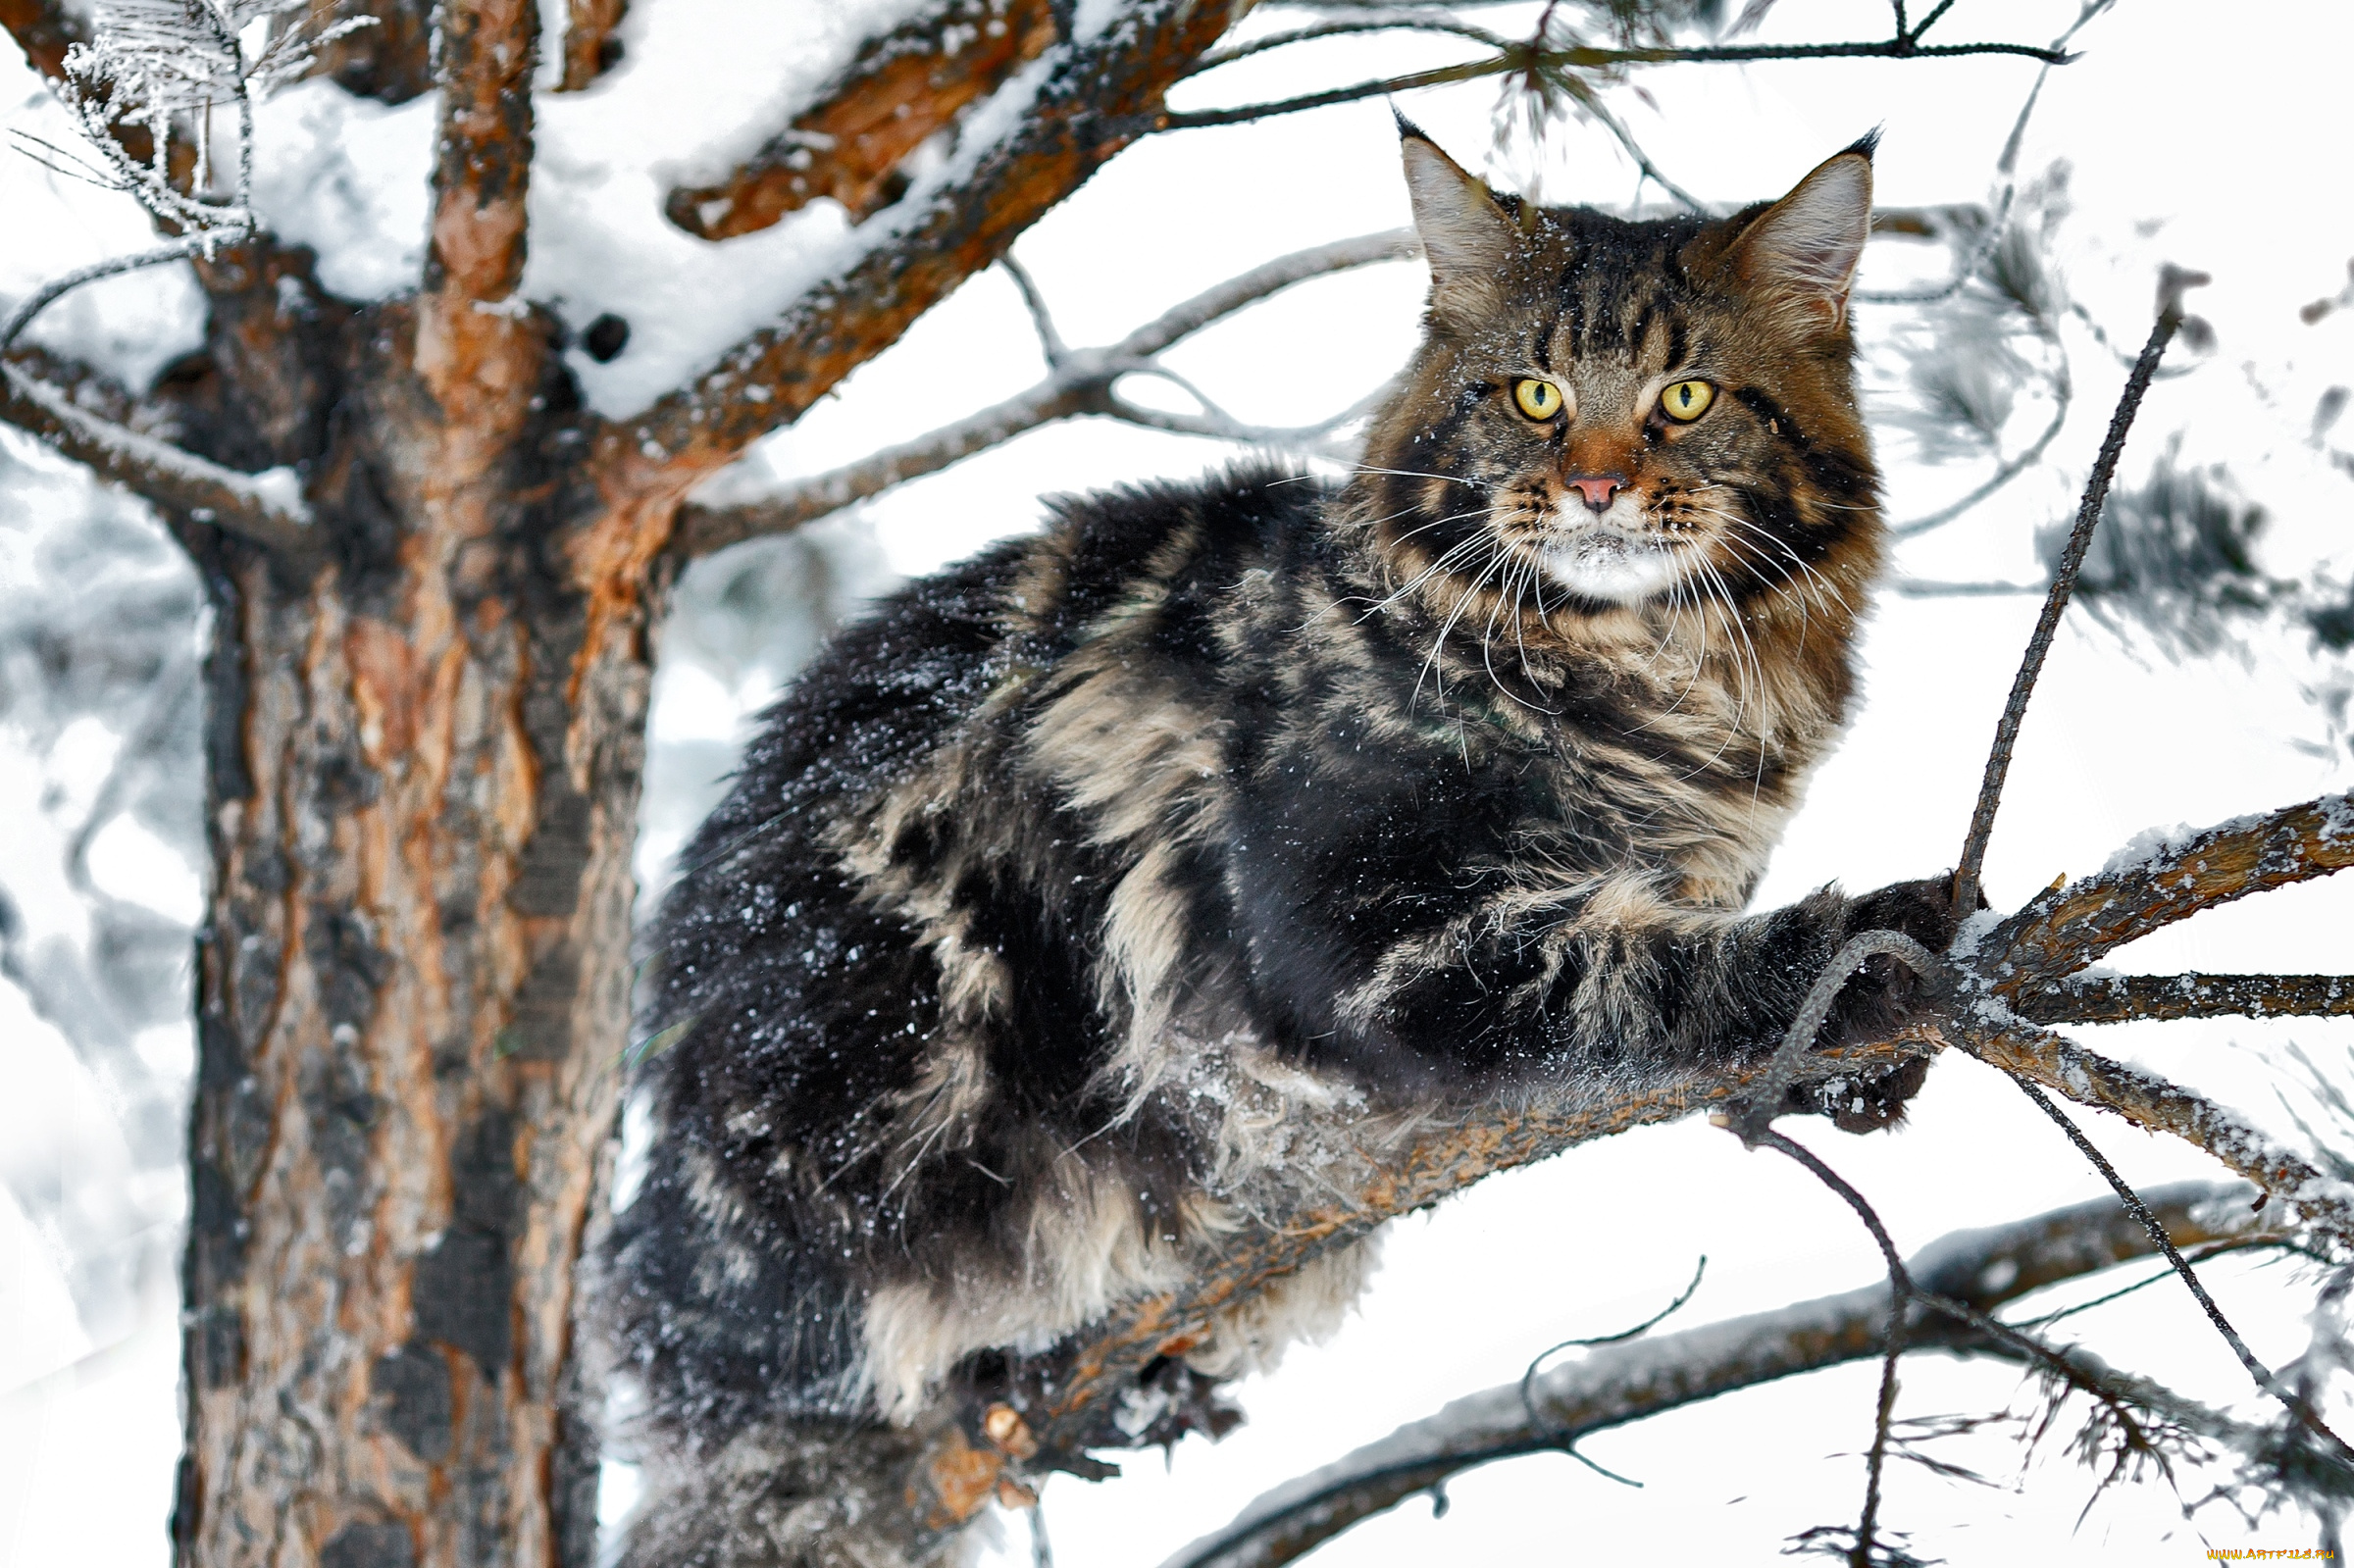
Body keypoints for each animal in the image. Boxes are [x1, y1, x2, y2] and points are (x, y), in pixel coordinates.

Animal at [602, 125, 1949, 1563]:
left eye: (1686, 399)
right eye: (1532, 395)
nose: (1595, 483)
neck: (1645, 683)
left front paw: (1842, 1071)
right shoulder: (1363, 936)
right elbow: (1643, 979)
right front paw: (1865, 946)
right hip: (906, 1027)